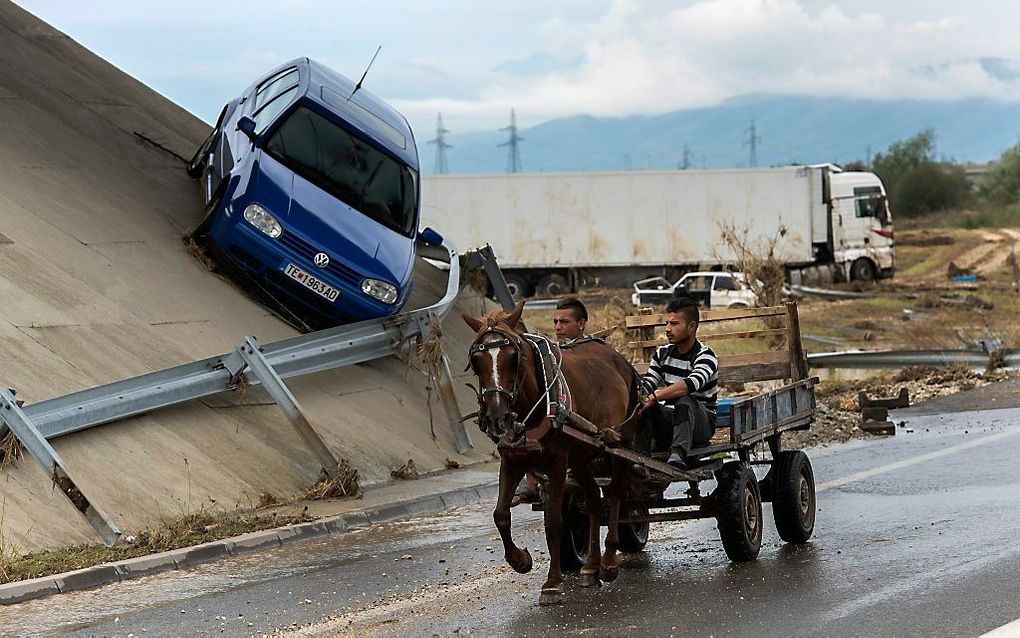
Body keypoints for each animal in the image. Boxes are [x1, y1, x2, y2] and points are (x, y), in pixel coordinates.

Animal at [465, 300, 644, 604]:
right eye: (476, 361)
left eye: (514, 357)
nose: (497, 417)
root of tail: (621, 360)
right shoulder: (512, 459)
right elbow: (500, 514)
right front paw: (520, 560)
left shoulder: (558, 463)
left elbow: (555, 522)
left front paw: (552, 582)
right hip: (582, 455)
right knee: (592, 500)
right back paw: (591, 566)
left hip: (621, 444)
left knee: (616, 494)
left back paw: (608, 561)